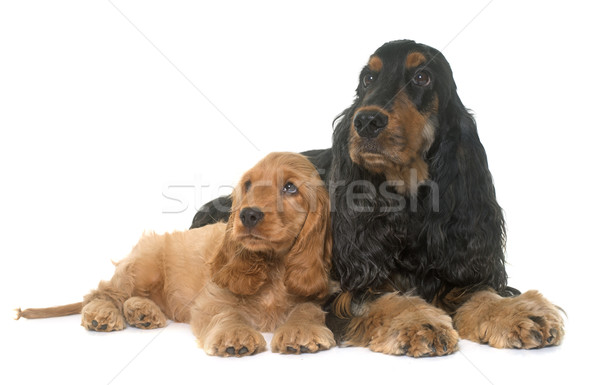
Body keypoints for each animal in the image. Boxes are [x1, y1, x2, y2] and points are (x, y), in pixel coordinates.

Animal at [16, 152, 336, 356]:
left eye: (290, 187)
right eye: (247, 185)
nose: (248, 215)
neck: (274, 266)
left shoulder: (312, 296)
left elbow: (307, 310)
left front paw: (301, 332)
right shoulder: (212, 298)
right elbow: (227, 312)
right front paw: (234, 335)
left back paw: (142, 312)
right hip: (142, 267)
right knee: (101, 293)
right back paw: (103, 314)